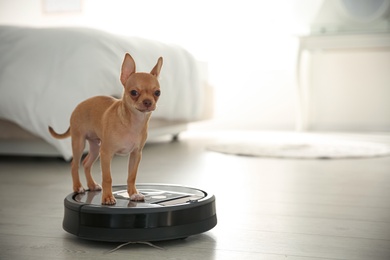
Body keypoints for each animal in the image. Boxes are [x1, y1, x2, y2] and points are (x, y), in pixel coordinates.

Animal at [48, 53, 161, 205]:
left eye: (157, 93)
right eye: (134, 92)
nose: (148, 102)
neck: (133, 122)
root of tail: (79, 105)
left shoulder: (136, 155)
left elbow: (131, 176)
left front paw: (133, 194)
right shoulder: (106, 154)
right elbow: (108, 178)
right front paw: (107, 197)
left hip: (96, 147)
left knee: (86, 163)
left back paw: (91, 185)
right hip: (79, 143)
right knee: (74, 164)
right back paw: (78, 186)